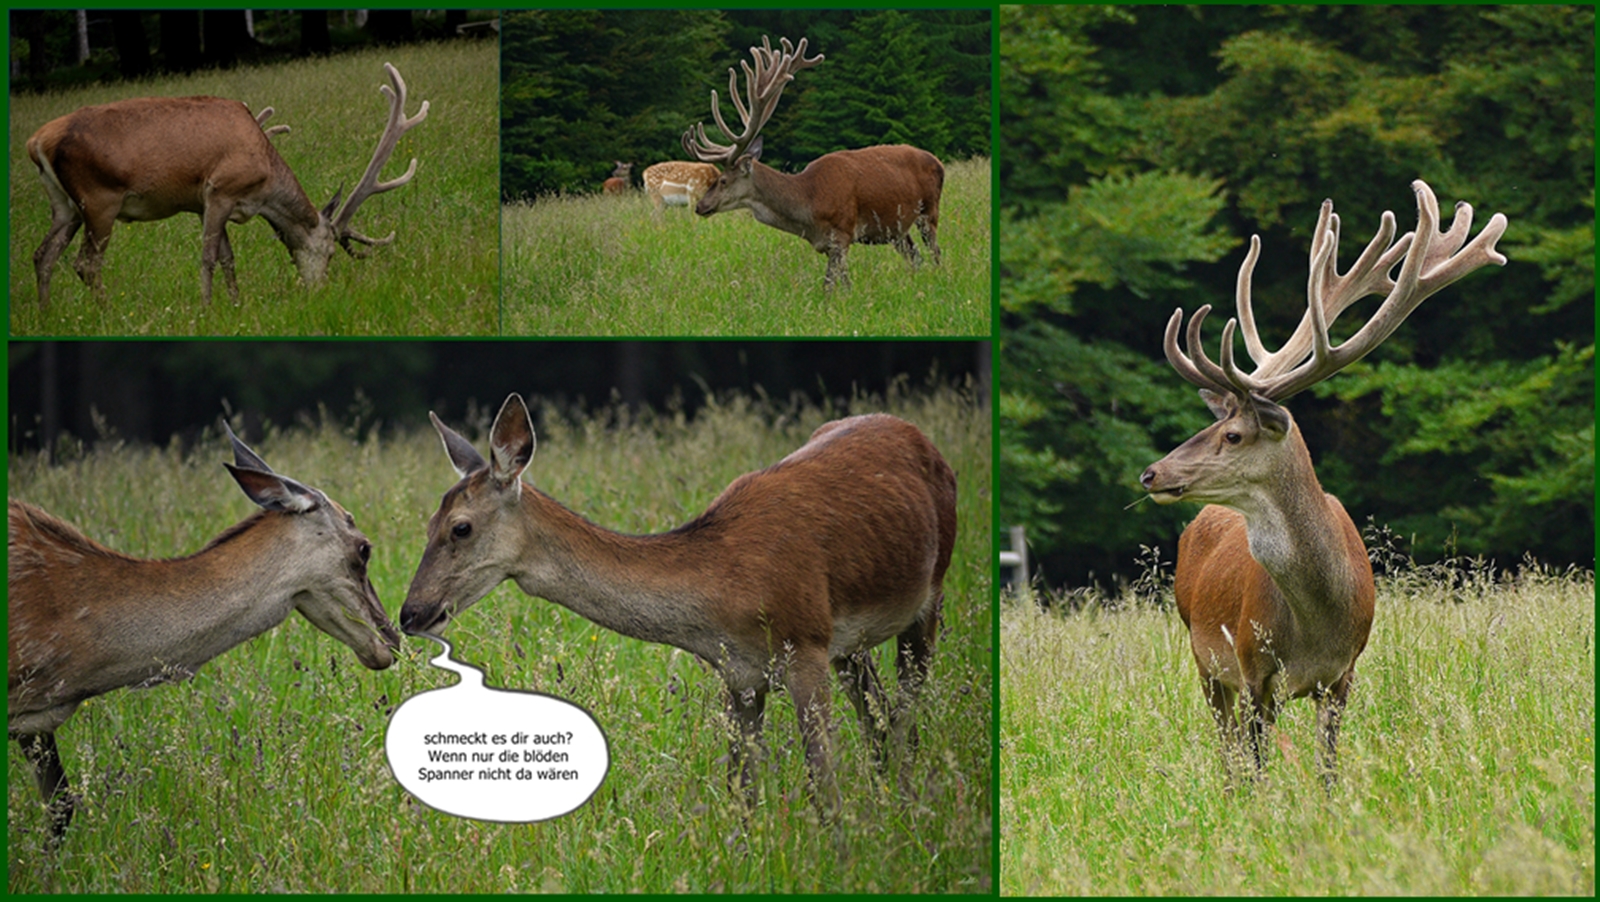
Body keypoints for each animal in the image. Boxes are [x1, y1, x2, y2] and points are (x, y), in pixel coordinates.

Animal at [31, 62, 432, 310]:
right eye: (332, 252)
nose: (320, 292)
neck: (264, 184)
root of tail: (36, 141)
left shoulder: (205, 204)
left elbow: (228, 257)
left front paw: (236, 304)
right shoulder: (221, 189)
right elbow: (209, 257)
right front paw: (207, 309)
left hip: (64, 204)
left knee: (43, 254)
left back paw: (47, 313)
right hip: (99, 199)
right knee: (86, 263)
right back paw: (105, 310)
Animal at [400, 395, 953, 818]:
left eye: (460, 527)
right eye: (426, 523)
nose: (411, 613)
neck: (727, 592)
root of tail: (922, 438)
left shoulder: (807, 643)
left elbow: (824, 789)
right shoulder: (740, 675)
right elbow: (741, 796)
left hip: (928, 595)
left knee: (905, 714)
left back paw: (909, 810)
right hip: (851, 646)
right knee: (881, 718)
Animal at [681, 36, 940, 291]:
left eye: (723, 180)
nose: (700, 206)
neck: (809, 205)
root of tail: (936, 160)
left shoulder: (842, 233)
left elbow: (830, 286)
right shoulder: (827, 244)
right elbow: (842, 283)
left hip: (929, 210)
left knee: (935, 252)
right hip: (896, 228)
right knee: (915, 256)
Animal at [1145, 179, 1504, 786]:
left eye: (1232, 434)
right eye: (1210, 426)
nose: (1152, 473)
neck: (1315, 623)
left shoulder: (1343, 674)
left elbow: (1328, 771)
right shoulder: (1253, 667)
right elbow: (1258, 770)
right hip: (1202, 657)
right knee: (1227, 751)